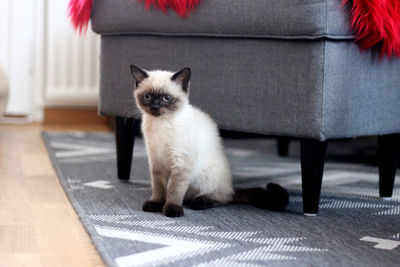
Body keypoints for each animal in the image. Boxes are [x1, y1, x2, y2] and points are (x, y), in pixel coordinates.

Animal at [130, 65, 290, 218]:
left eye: (166, 98)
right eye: (147, 96)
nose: (155, 107)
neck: (161, 124)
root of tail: (232, 186)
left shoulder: (181, 163)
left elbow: (174, 191)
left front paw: (171, 209)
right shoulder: (156, 161)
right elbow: (159, 188)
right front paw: (156, 204)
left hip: (206, 179)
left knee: (225, 198)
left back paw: (199, 202)